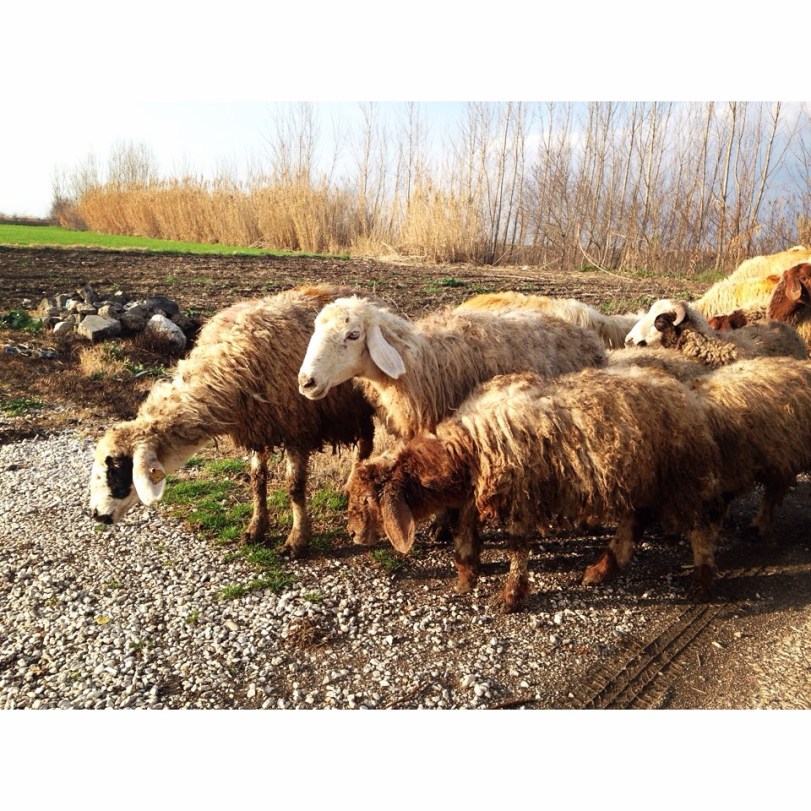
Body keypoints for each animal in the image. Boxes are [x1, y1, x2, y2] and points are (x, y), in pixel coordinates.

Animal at [89, 285, 375, 558]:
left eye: (115, 468)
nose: (96, 515)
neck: (226, 368)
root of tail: (362, 295)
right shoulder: (256, 429)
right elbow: (257, 480)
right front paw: (256, 529)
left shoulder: (296, 428)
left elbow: (294, 487)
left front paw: (297, 541)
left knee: (365, 445)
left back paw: (354, 487)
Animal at [346, 367, 726, 612]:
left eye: (367, 499)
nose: (351, 533)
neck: (466, 445)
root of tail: (684, 393)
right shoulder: (476, 491)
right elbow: (464, 530)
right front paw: (467, 574)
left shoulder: (520, 493)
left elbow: (516, 548)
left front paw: (510, 597)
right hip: (640, 478)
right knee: (633, 524)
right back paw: (601, 570)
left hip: (683, 476)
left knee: (702, 526)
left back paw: (702, 584)